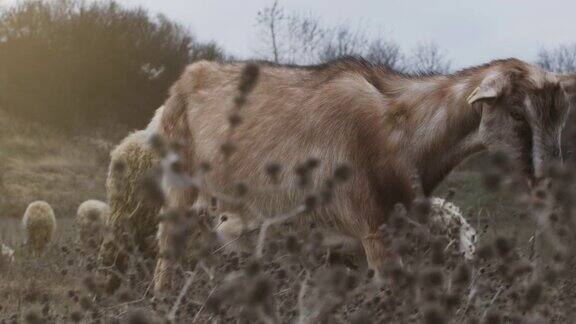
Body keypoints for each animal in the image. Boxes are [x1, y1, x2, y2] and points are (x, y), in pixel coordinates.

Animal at [151, 57, 572, 292]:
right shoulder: (373, 227)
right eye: (517, 113)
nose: (549, 179)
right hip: (180, 186)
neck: (405, 131)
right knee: (167, 247)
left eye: (561, 117)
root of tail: (186, 78)